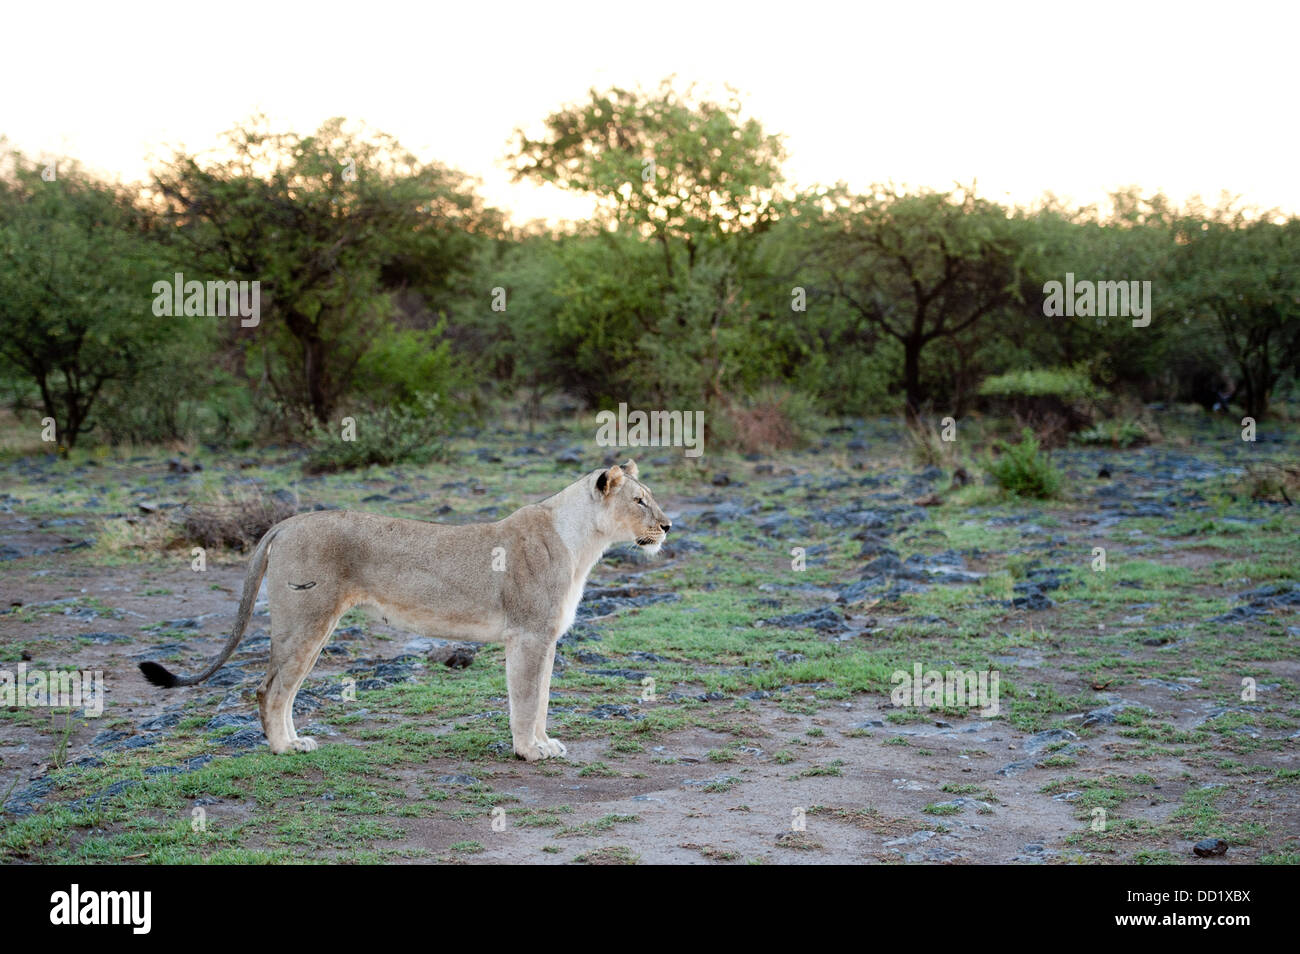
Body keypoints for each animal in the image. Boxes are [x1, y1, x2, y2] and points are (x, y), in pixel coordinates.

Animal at [139, 461, 671, 761]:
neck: (585, 543)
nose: (667, 526)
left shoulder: (545, 638)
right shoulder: (529, 634)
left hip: (313, 624)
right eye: (640, 500)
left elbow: (539, 699)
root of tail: (285, 523)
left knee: (281, 690)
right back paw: (283, 750)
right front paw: (529, 752)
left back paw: (295, 742)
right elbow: (526, 700)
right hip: (306, 618)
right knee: (269, 689)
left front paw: (544, 743)